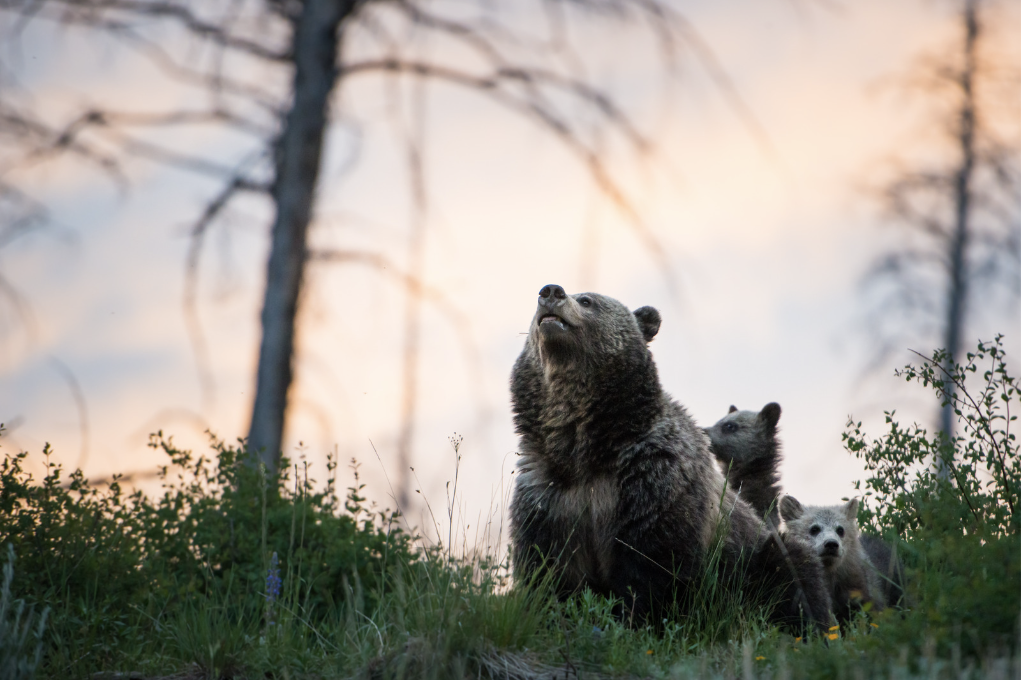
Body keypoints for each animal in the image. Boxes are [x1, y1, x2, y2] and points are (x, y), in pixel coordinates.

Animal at [509, 284, 831, 631]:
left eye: (587, 300)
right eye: (536, 304)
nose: (550, 292)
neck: (589, 449)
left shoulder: (653, 482)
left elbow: (655, 567)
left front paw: (635, 619)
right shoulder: (550, 496)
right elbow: (547, 569)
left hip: (760, 557)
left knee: (792, 568)